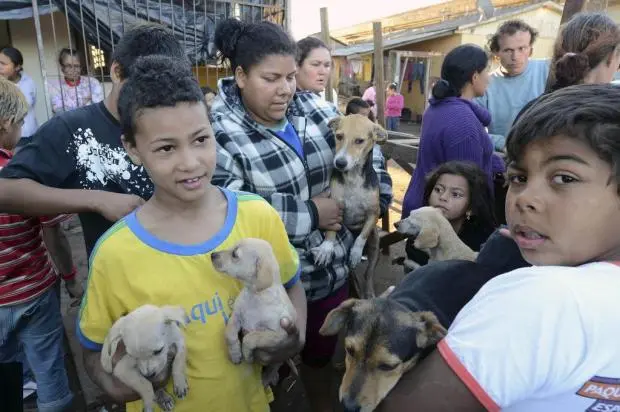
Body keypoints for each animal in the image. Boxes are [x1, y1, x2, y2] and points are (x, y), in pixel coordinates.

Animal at [310, 114, 388, 298]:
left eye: (359, 141)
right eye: (339, 136)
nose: (340, 163)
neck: (353, 178)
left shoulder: (373, 212)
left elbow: (362, 236)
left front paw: (355, 253)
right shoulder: (334, 207)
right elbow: (331, 231)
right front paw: (326, 248)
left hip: (375, 244)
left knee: (368, 273)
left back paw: (368, 291)